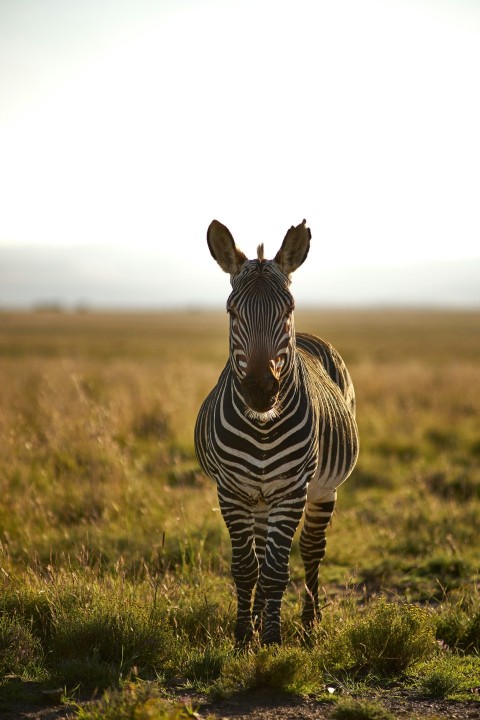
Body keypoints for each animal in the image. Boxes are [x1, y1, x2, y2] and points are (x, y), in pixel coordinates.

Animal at [193, 221, 358, 648]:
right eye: (232, 311)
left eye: (289, 310)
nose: (260, 391)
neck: (262, 427)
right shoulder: (231, 490)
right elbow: (246, 568)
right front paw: (243, 635)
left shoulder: (292, 490)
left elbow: (275, 571)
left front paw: (270, 639)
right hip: (258, 498)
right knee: (260, 550)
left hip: (321, 490)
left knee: (312, 549)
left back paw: (310, 620)